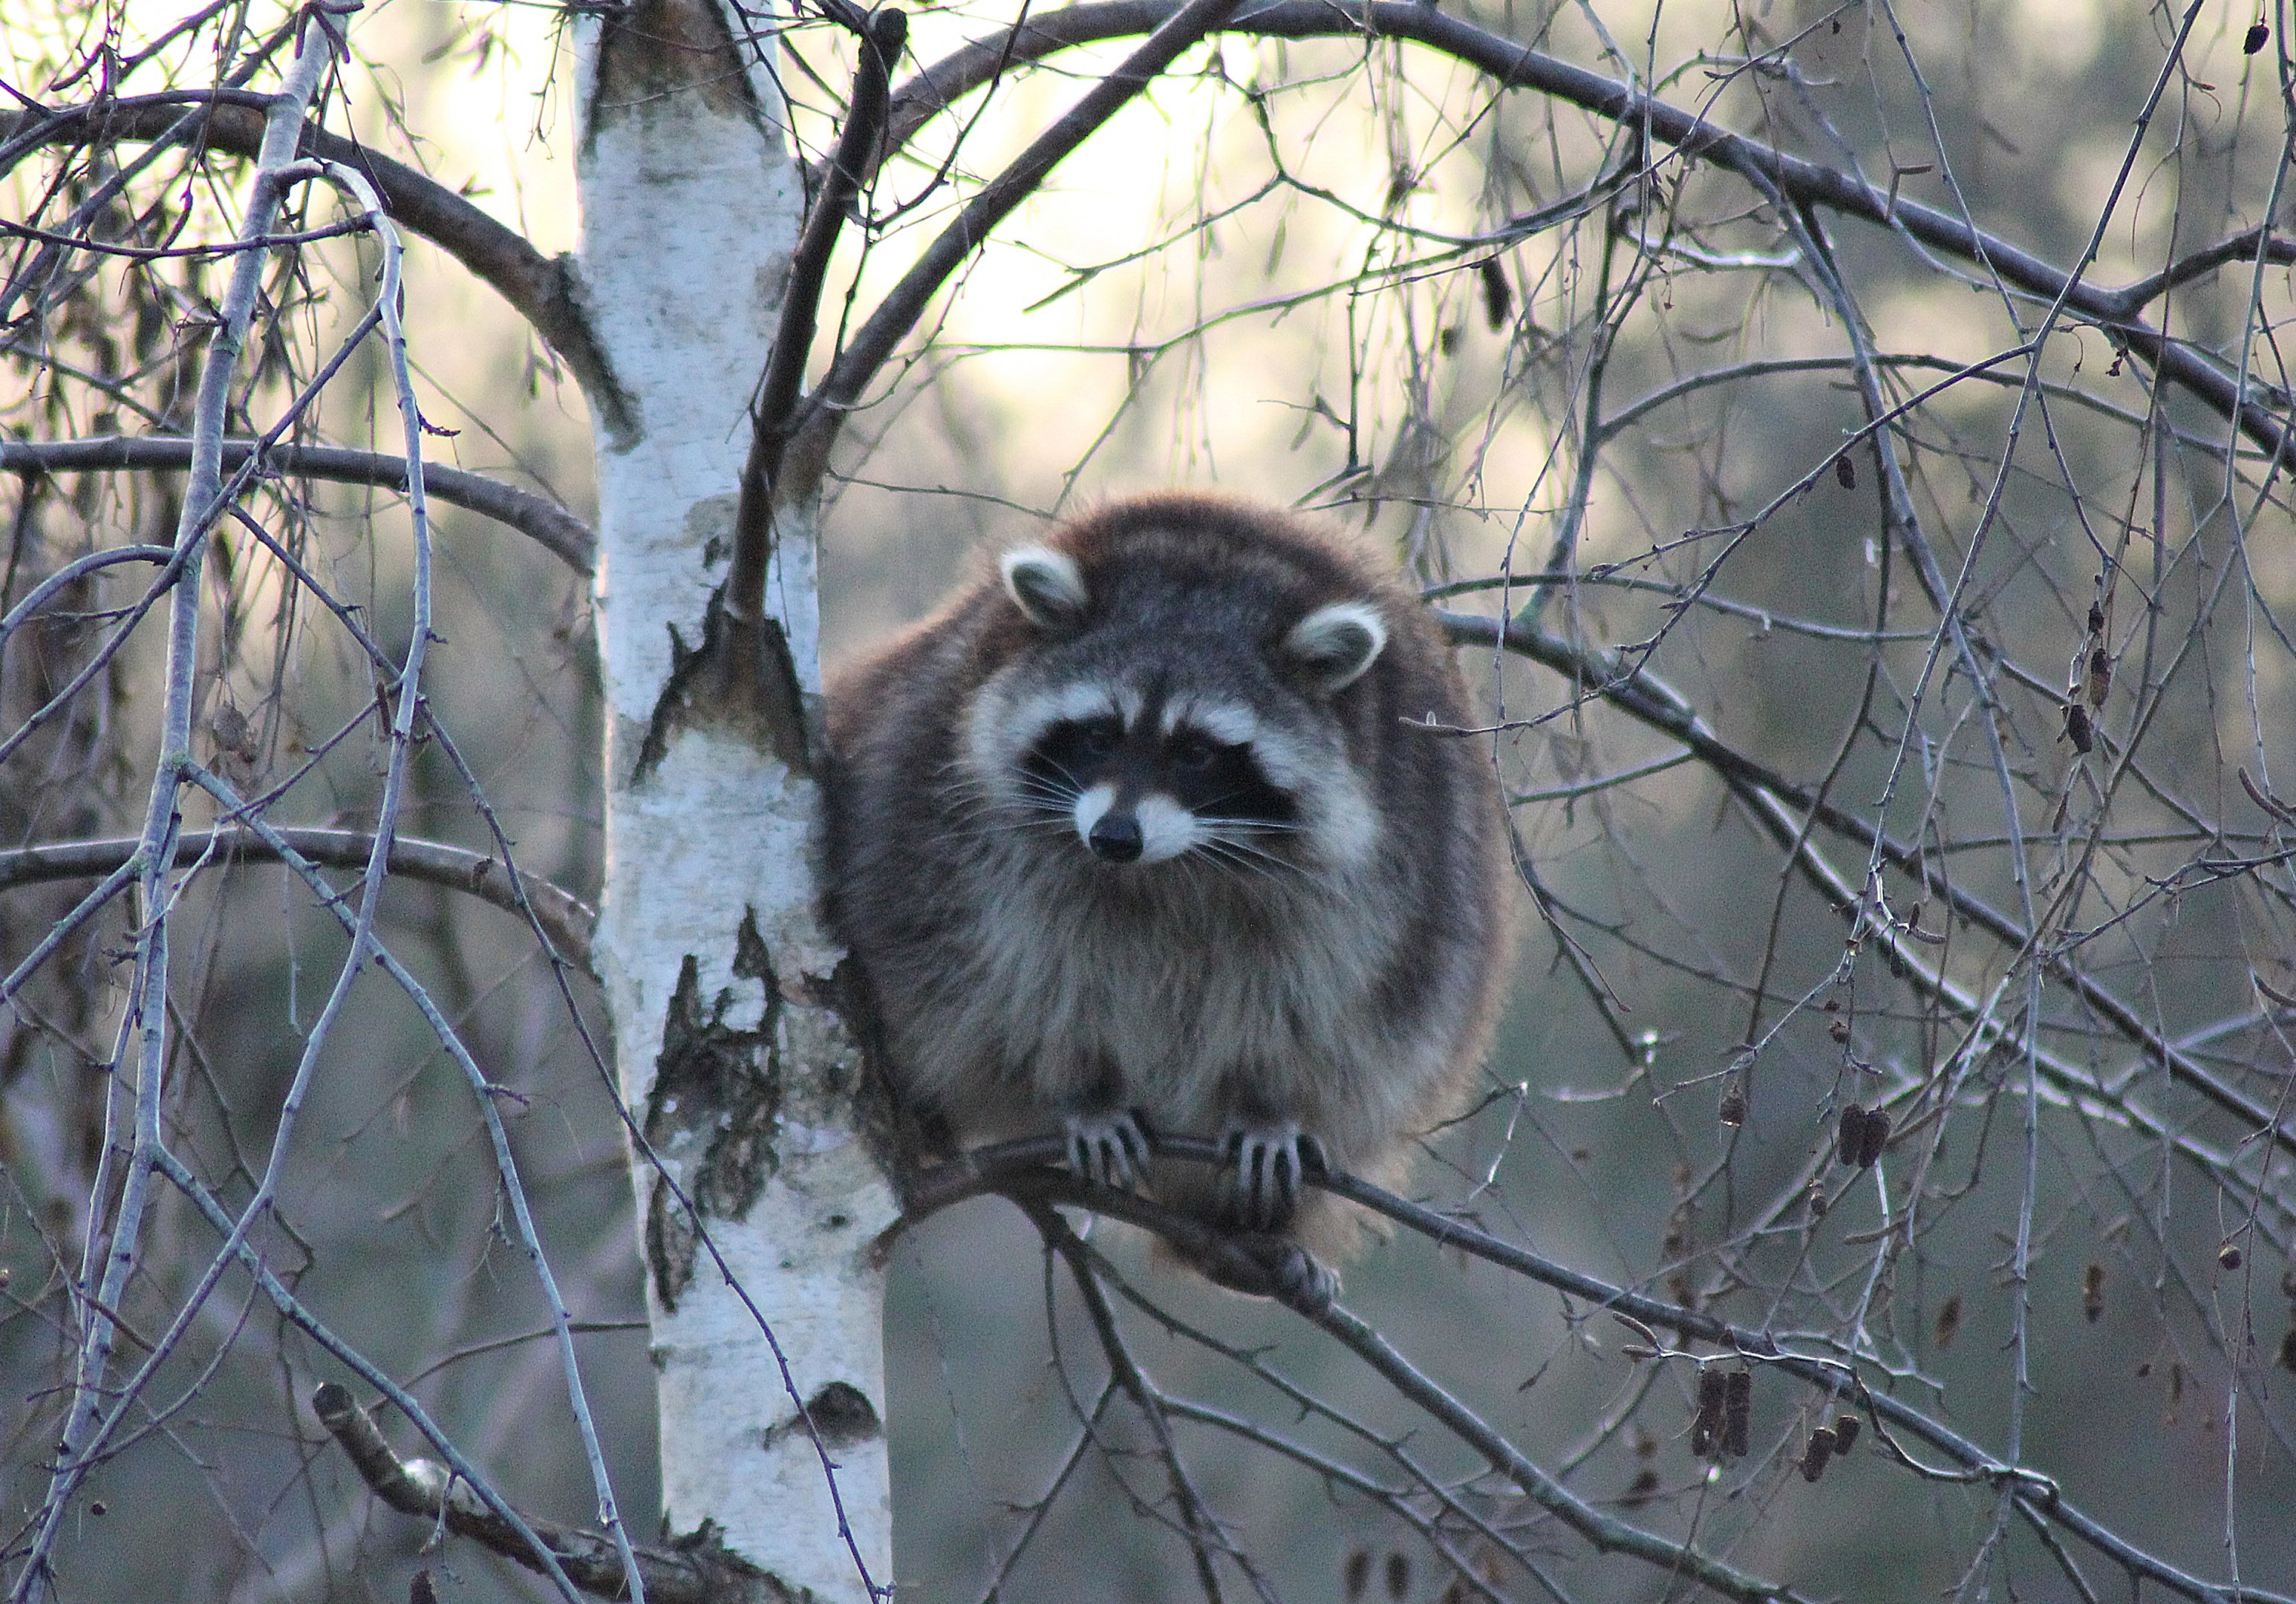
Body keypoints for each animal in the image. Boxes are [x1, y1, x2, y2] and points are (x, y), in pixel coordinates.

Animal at [823, 493, 1512, 1289]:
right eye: (1097, 735)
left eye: (1198, 753)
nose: (1114, 837)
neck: (1169, 868)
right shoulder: (948, 826)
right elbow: (1015, 975)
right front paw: (1082, 1088)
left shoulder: (1400, 861)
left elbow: (1331, 1006)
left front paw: (1270, 1104)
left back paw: (1249, 1232)